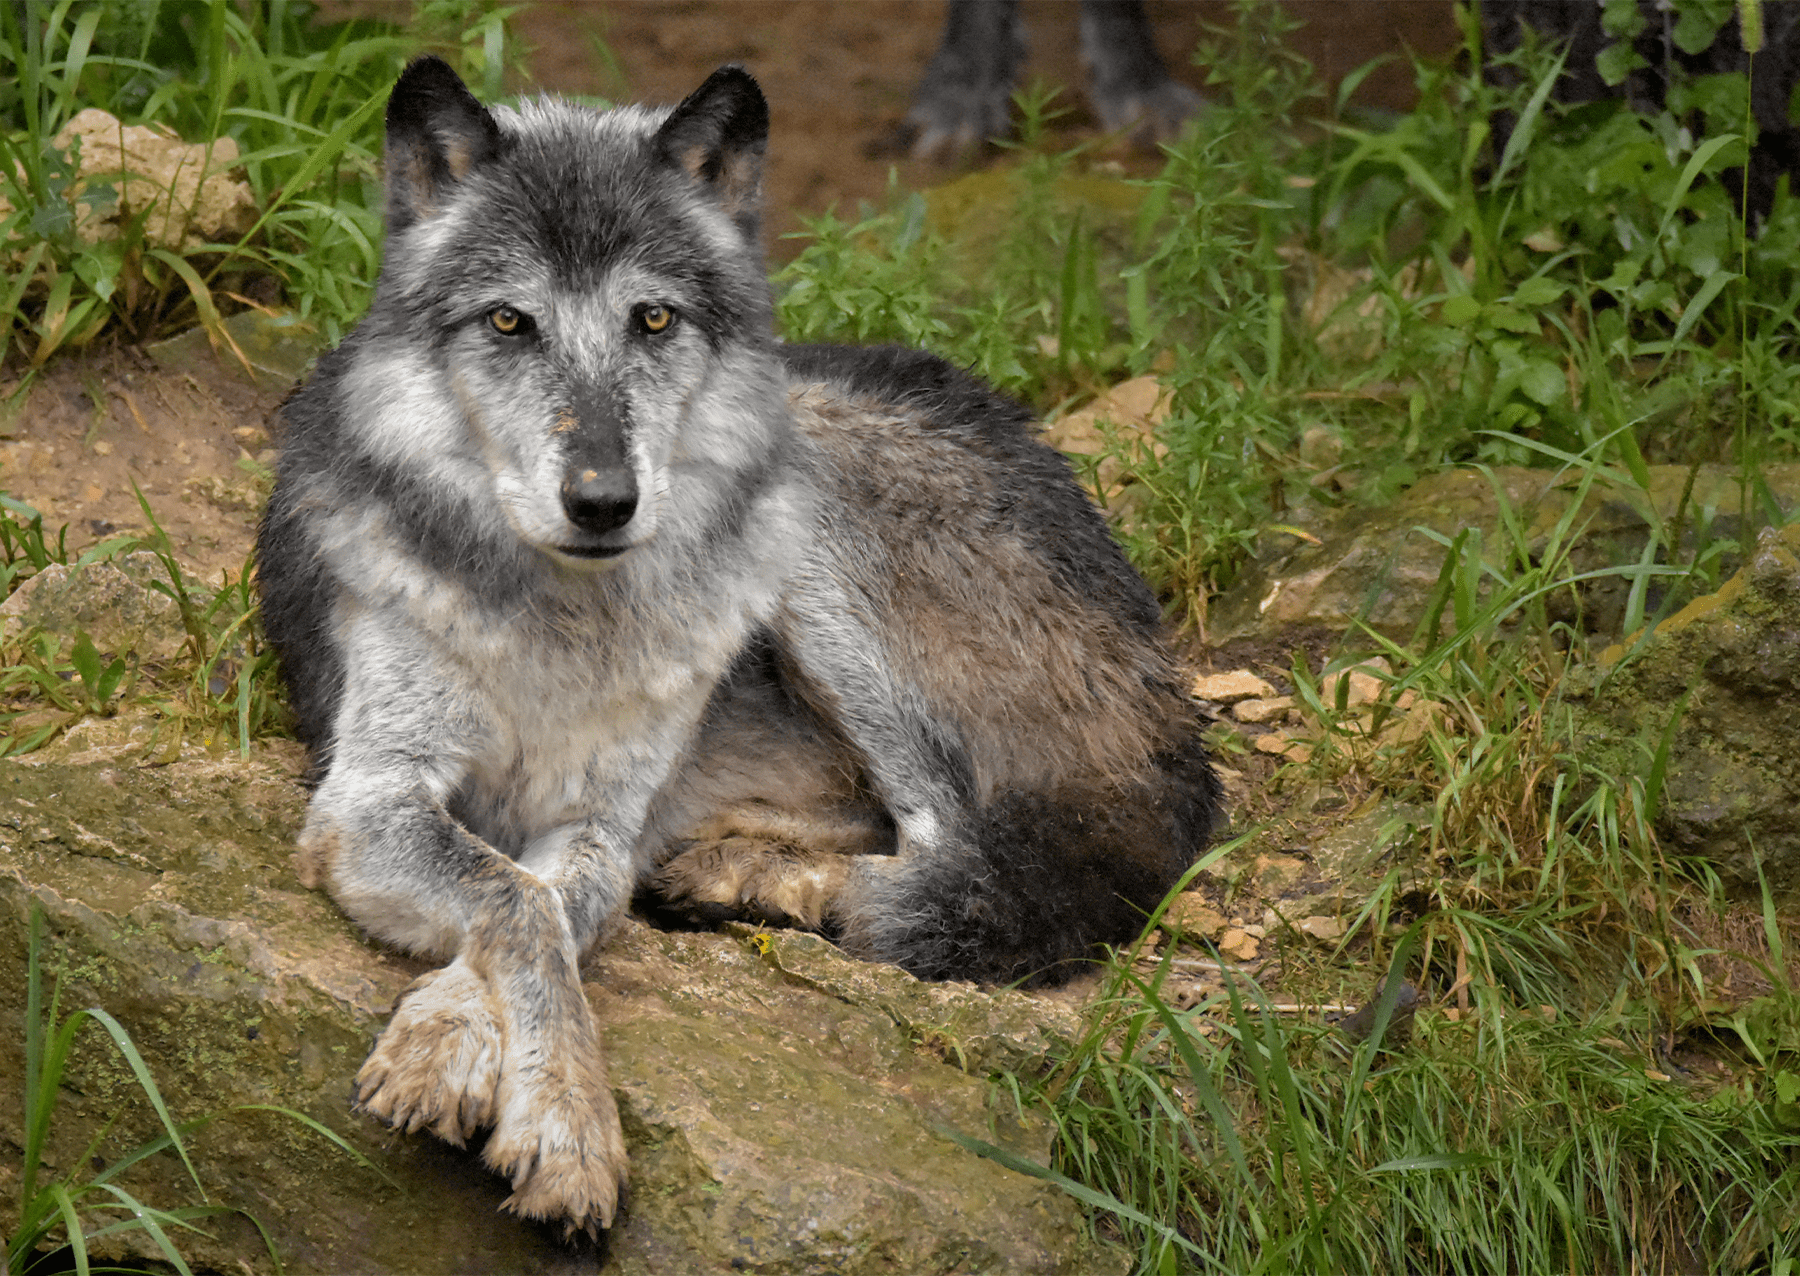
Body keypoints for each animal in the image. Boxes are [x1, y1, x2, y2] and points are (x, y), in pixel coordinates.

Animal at [256, 55, 1221, 1237]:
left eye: (654, 318)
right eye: (510, 321)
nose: (604, 501)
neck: (567, 620)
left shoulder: (598, 820)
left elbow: (543, 905)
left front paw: (518, 1096)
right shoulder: (372, 791)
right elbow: (514, 900)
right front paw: (531, 1098)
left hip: (806, 529)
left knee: (951, 847)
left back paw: (769, 883)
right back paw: (738, 868)